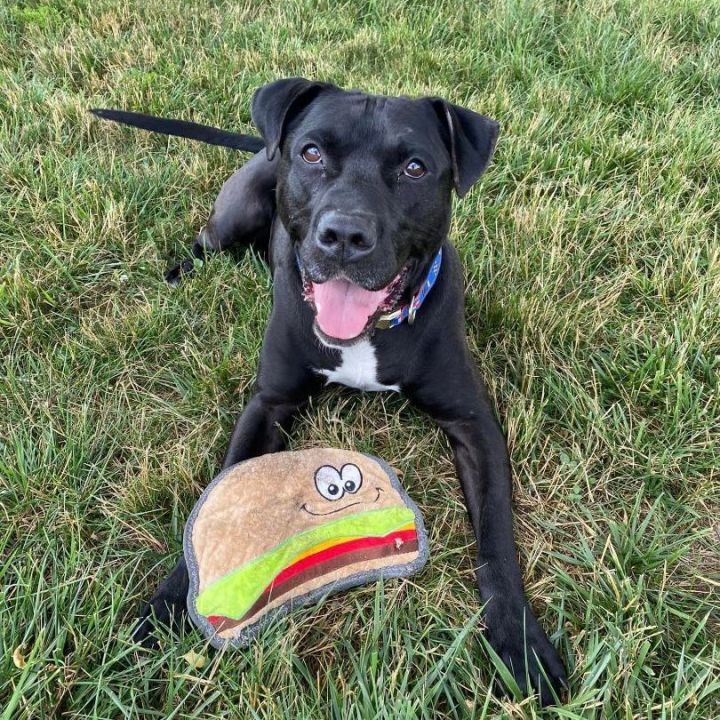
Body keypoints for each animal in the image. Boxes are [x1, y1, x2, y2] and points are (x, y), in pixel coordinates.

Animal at [104, 77, 572, 704]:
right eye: (312, 153)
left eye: (416, 167)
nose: (345, 235)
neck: (366, 333)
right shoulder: (268, 404)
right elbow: (218, 492)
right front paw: (171, 604)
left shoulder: (474, 424)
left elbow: (497, 536)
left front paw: (520, 642)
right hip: (236, 211)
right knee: (207, 240)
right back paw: (182, 272)